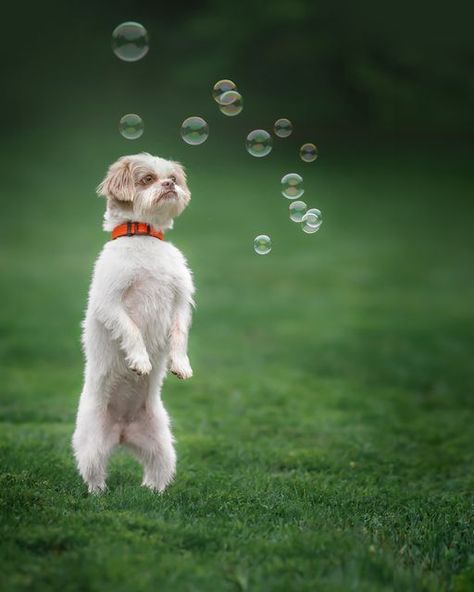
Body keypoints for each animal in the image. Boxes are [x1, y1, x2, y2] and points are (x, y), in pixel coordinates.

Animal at [72, 153, 194, 494]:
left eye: (172, 178)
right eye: (148, 179)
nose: (169, 185)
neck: (144, 236)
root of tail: (123, 431)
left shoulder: (180, 300)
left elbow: (179, 335)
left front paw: (180, 364)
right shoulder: (110, 302)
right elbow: (131, 330)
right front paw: (140, 361)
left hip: (161, 444)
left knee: (156, 472)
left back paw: (155, 493)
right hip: (91, 444)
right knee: (94, 473)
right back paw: (98, 494)